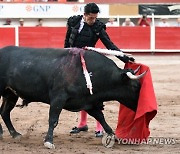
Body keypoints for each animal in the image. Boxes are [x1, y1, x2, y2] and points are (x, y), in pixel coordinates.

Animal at [0, 45, 141, 148]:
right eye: (135, 86)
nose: (140, 108)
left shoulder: (87, 102)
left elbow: (100, 117)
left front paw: (112, 135)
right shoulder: (58, 98)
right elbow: (53, 119)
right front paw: (49, 141)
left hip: (10, 94)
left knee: (4, 113)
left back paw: (14, 134)